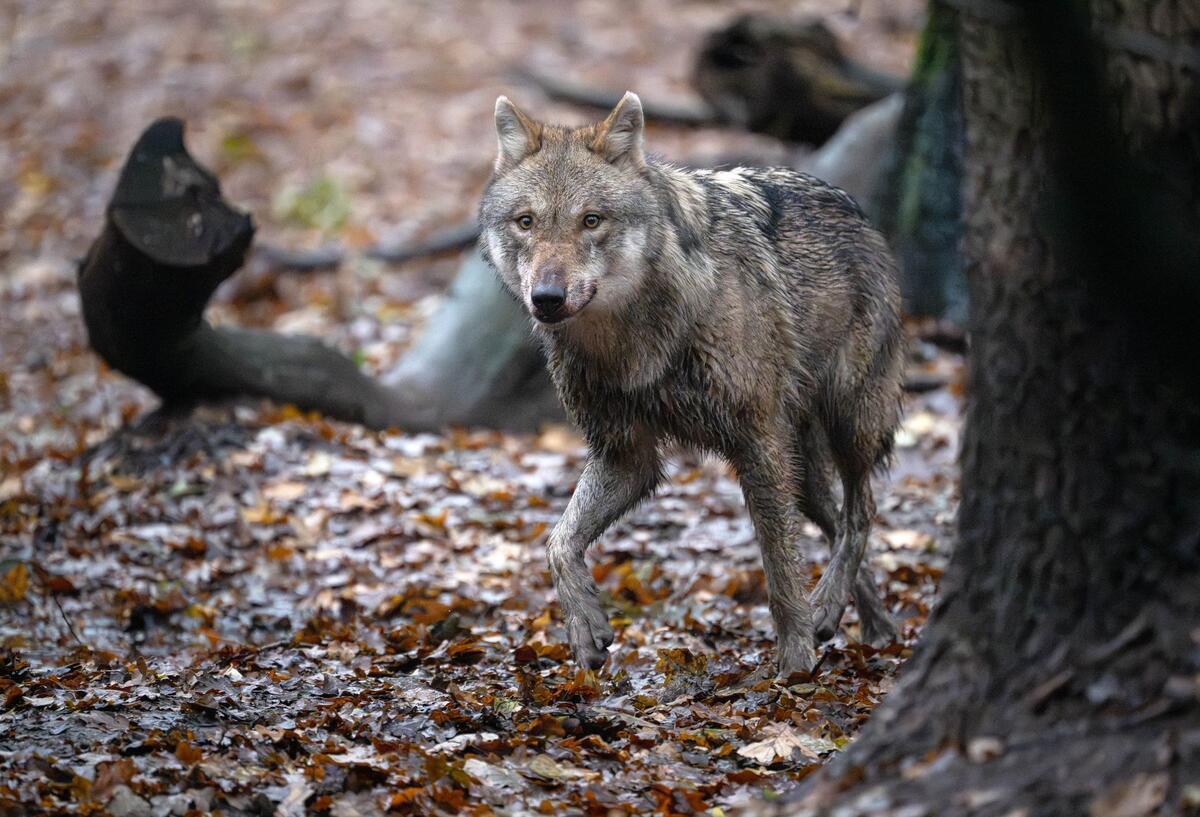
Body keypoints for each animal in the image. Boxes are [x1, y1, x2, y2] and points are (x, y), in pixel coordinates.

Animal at [479, 92, 903, 675]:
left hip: (848, 423)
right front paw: (585, 627)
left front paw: (795, 663)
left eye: (591, 221)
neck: (631, 342)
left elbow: (778, 569)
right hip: (804, 471)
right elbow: (558, 542)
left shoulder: (757, 442)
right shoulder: (625, 455)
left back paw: (831, 611)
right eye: (526, 222)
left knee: (863, 513)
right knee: (839, 523)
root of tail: (860, 213)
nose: (546, 298)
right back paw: (867, 623)